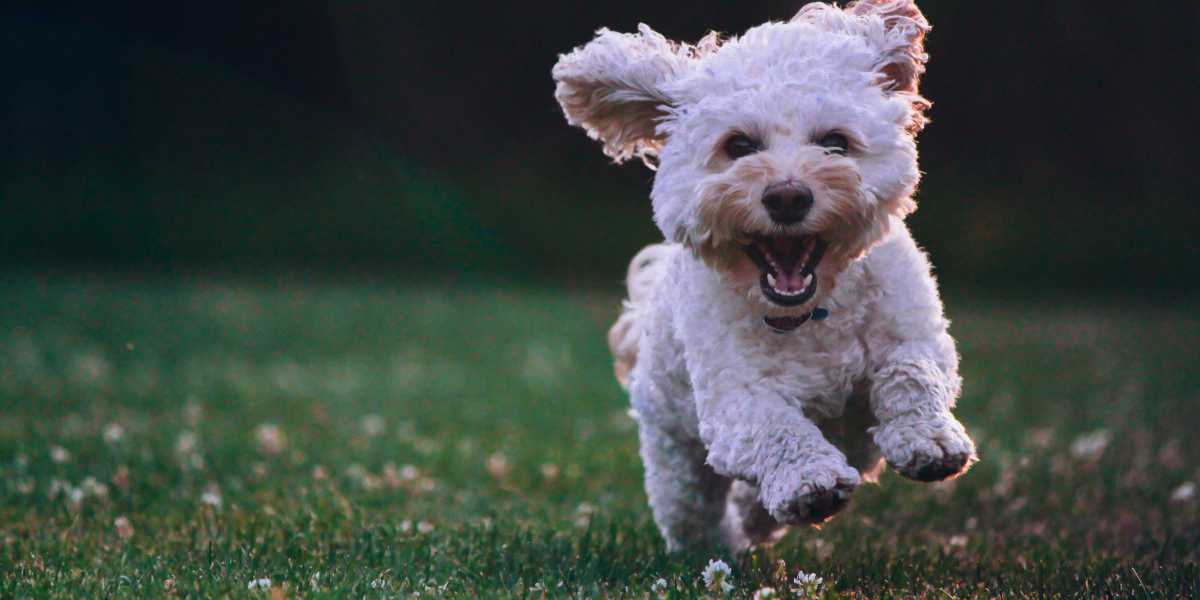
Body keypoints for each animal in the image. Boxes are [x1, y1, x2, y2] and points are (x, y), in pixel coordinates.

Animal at [552, 1, 974, 552]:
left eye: (834, 142)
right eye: (739, 145)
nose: (788, 196)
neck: (810, 314)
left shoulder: (914, 332)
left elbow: (912, 372)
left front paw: (929, 440)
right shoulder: (735, 399)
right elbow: (776, 427)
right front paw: (809, 481)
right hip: (674, 453)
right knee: (692, 511)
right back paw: (722, 544)